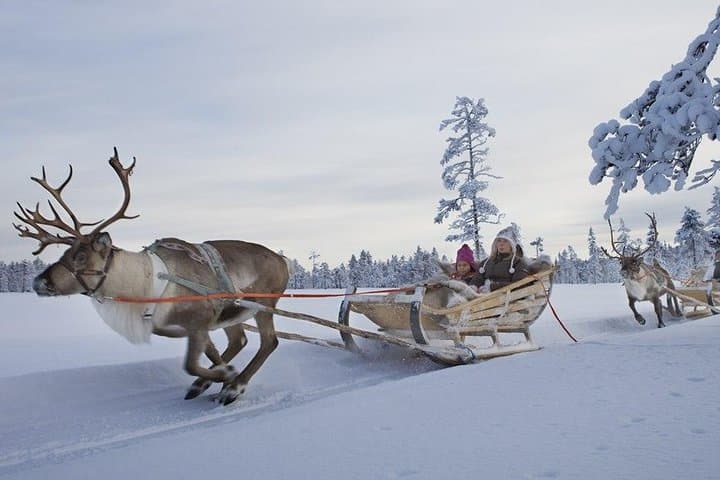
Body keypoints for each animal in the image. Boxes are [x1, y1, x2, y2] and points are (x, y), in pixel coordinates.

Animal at [13, 148, 291, 405]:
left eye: (81, 256)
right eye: (65, 252)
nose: (39, 281)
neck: (145, 284)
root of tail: (284, 261)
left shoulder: (199, 318)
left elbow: (191, 364)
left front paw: (228, 378)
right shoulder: (193, 325)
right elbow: (211, 356)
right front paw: (218, 376)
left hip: (263, 304)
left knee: (270, 341)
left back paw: (235, 387)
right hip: (235, 312)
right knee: (240, 340)